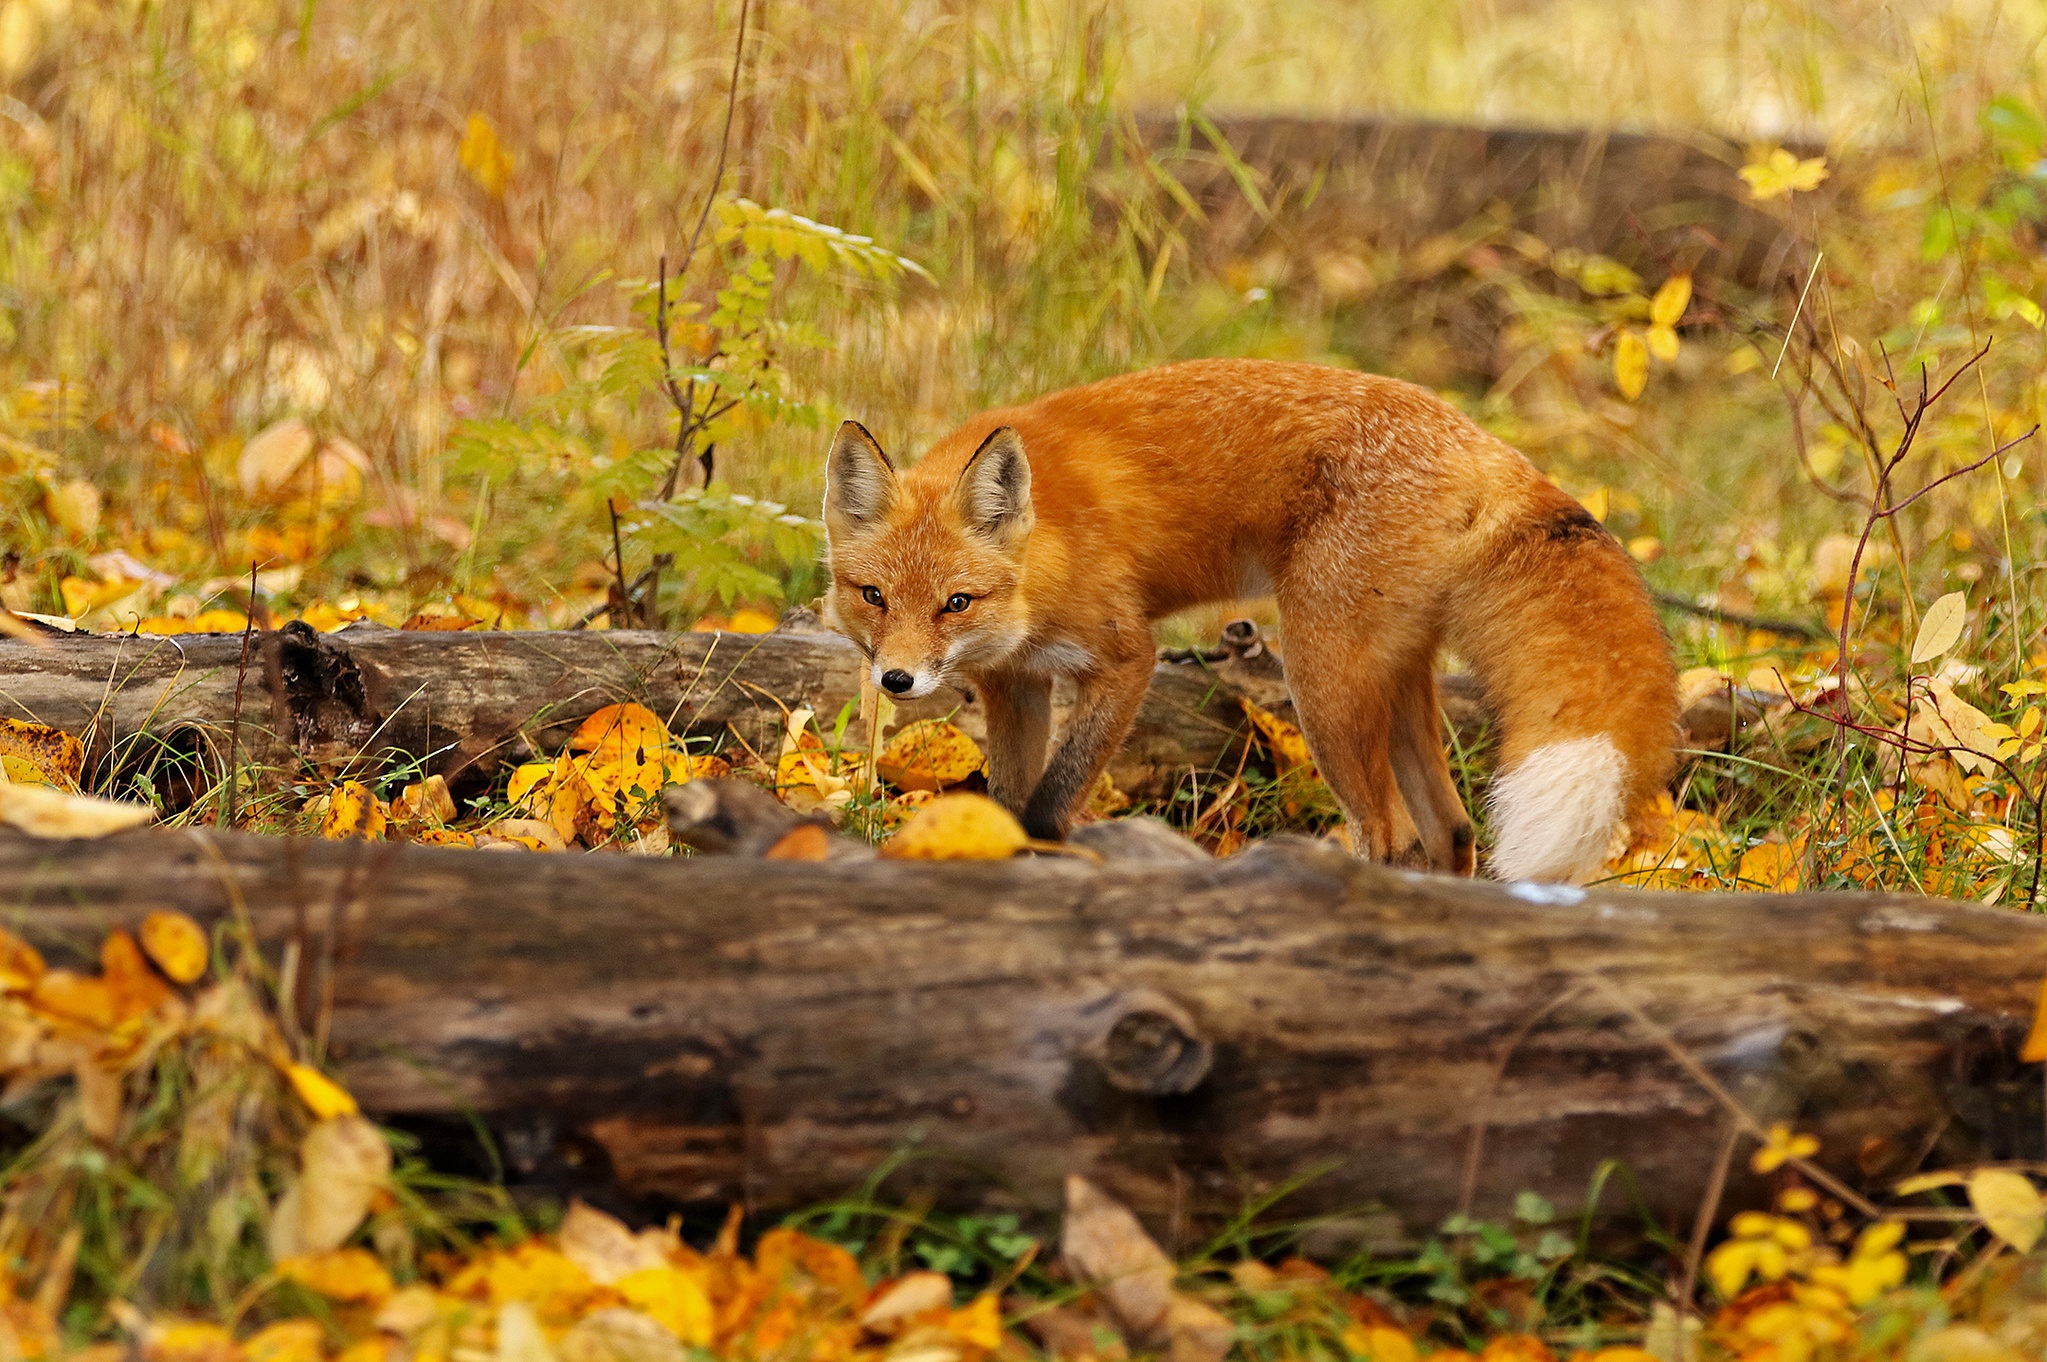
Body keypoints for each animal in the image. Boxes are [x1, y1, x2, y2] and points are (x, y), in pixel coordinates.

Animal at [814, 356, 1678, 880]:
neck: (1045, 550)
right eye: (873, 596)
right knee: (1452, 829)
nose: (896, 679)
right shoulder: (1016, 684)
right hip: (1392, 683)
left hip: (1320, 680)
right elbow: (1005, 804)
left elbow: (1048, 803)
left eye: (954, 602)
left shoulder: (1125, 659)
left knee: (1392, 836)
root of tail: (1482, 443)